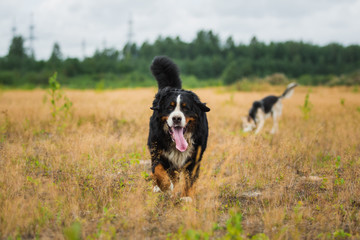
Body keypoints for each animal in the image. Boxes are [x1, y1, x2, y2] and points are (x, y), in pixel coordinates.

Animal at [147, 55, 210, 201]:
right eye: (170, 107)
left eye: (186, 108)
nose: (176, 118)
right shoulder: (157, 149)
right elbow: (158, 170)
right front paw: (164, 186)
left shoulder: (195, 156)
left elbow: (189, 180)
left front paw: (186, 197)